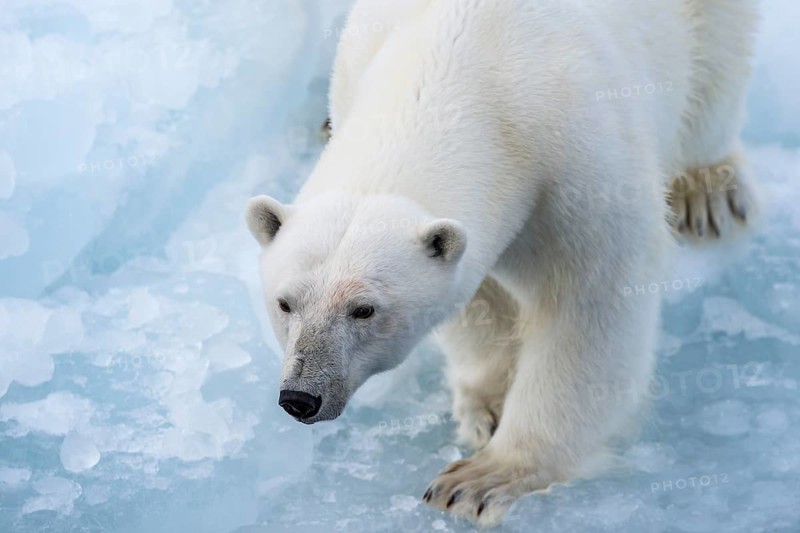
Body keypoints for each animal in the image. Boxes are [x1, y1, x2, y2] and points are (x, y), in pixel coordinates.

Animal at [246, 0, 760, 526]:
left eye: (364, 309)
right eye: (285, 303)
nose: (301, 397)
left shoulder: (581, 164)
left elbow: (589, 305)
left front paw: (480, 479)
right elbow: (475, 297)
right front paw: (487, 408)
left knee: (716, 71)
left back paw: (708, 191)